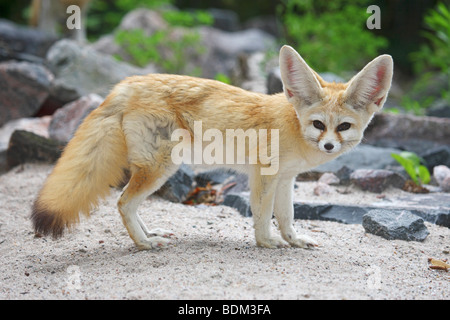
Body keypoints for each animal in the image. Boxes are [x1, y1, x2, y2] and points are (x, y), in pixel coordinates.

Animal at [30, 45, 394, 250]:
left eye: (343, 127)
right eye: (319, 125)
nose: (330, 146)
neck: (292, 126)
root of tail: (126, 84)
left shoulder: (286, 179)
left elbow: (287, 216)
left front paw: (294, 241)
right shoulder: (264, 177)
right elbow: (263, 217)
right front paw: (267, 243)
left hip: (157, 170)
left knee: (127, 204)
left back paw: (149, 234)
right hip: (161, 169)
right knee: (122, 203)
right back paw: (144, 243)